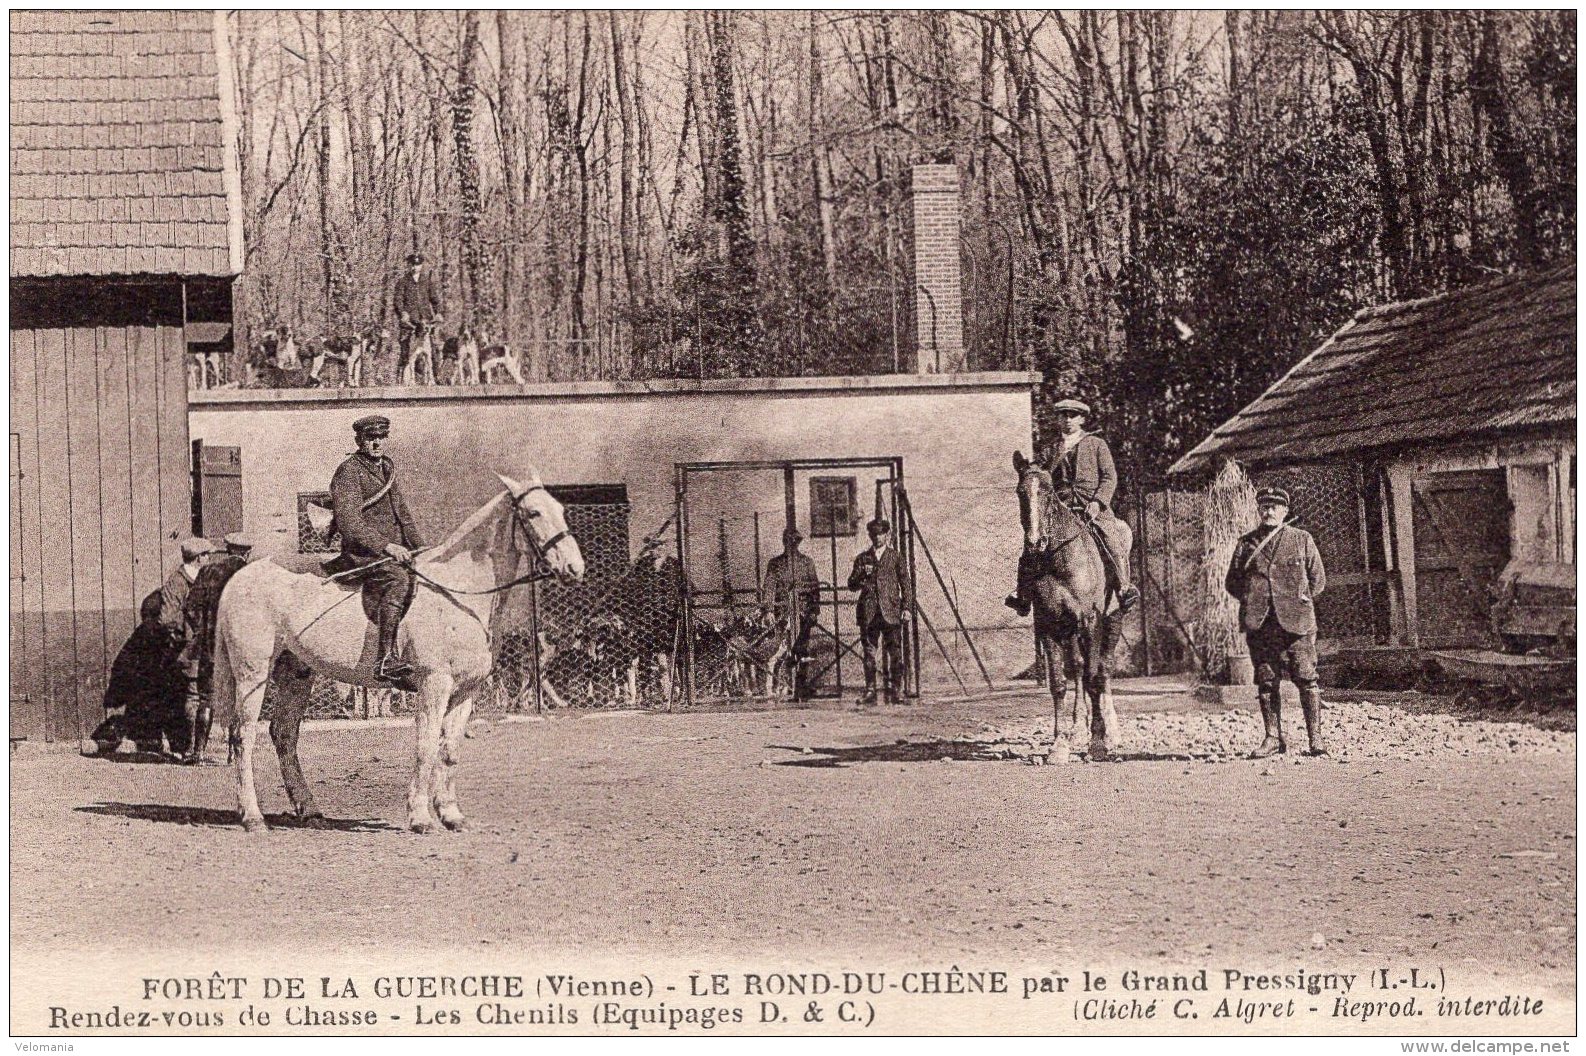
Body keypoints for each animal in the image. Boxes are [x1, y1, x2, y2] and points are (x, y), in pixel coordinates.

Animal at [210, 475, 583, 830]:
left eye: (561, 509)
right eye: (533, 513)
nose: (574, 569)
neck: (459, 592)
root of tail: (239, 578)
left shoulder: (466, 691)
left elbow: (449, 752)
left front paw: (451, 815)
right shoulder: (435, 684)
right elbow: (425, 746)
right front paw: (420, 818)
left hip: (296, 673)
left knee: (284, 735)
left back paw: (310, 810)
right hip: (253, 673)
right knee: (244, 736)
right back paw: (252, 816)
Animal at [1008, 447, 1122, 761]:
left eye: (1047, 491)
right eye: (1021, 492)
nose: (1035, 543)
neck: (1058, 559)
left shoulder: (1090, 621)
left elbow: (1094, 677)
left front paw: (1098, 742)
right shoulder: (1048, 624)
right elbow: (1060, 682)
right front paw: (1060, 744)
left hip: (1111, 622)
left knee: (1102, 669)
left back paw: (1111, 731)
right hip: (1068, 631)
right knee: (1078, 669)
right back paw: (1079, 728)